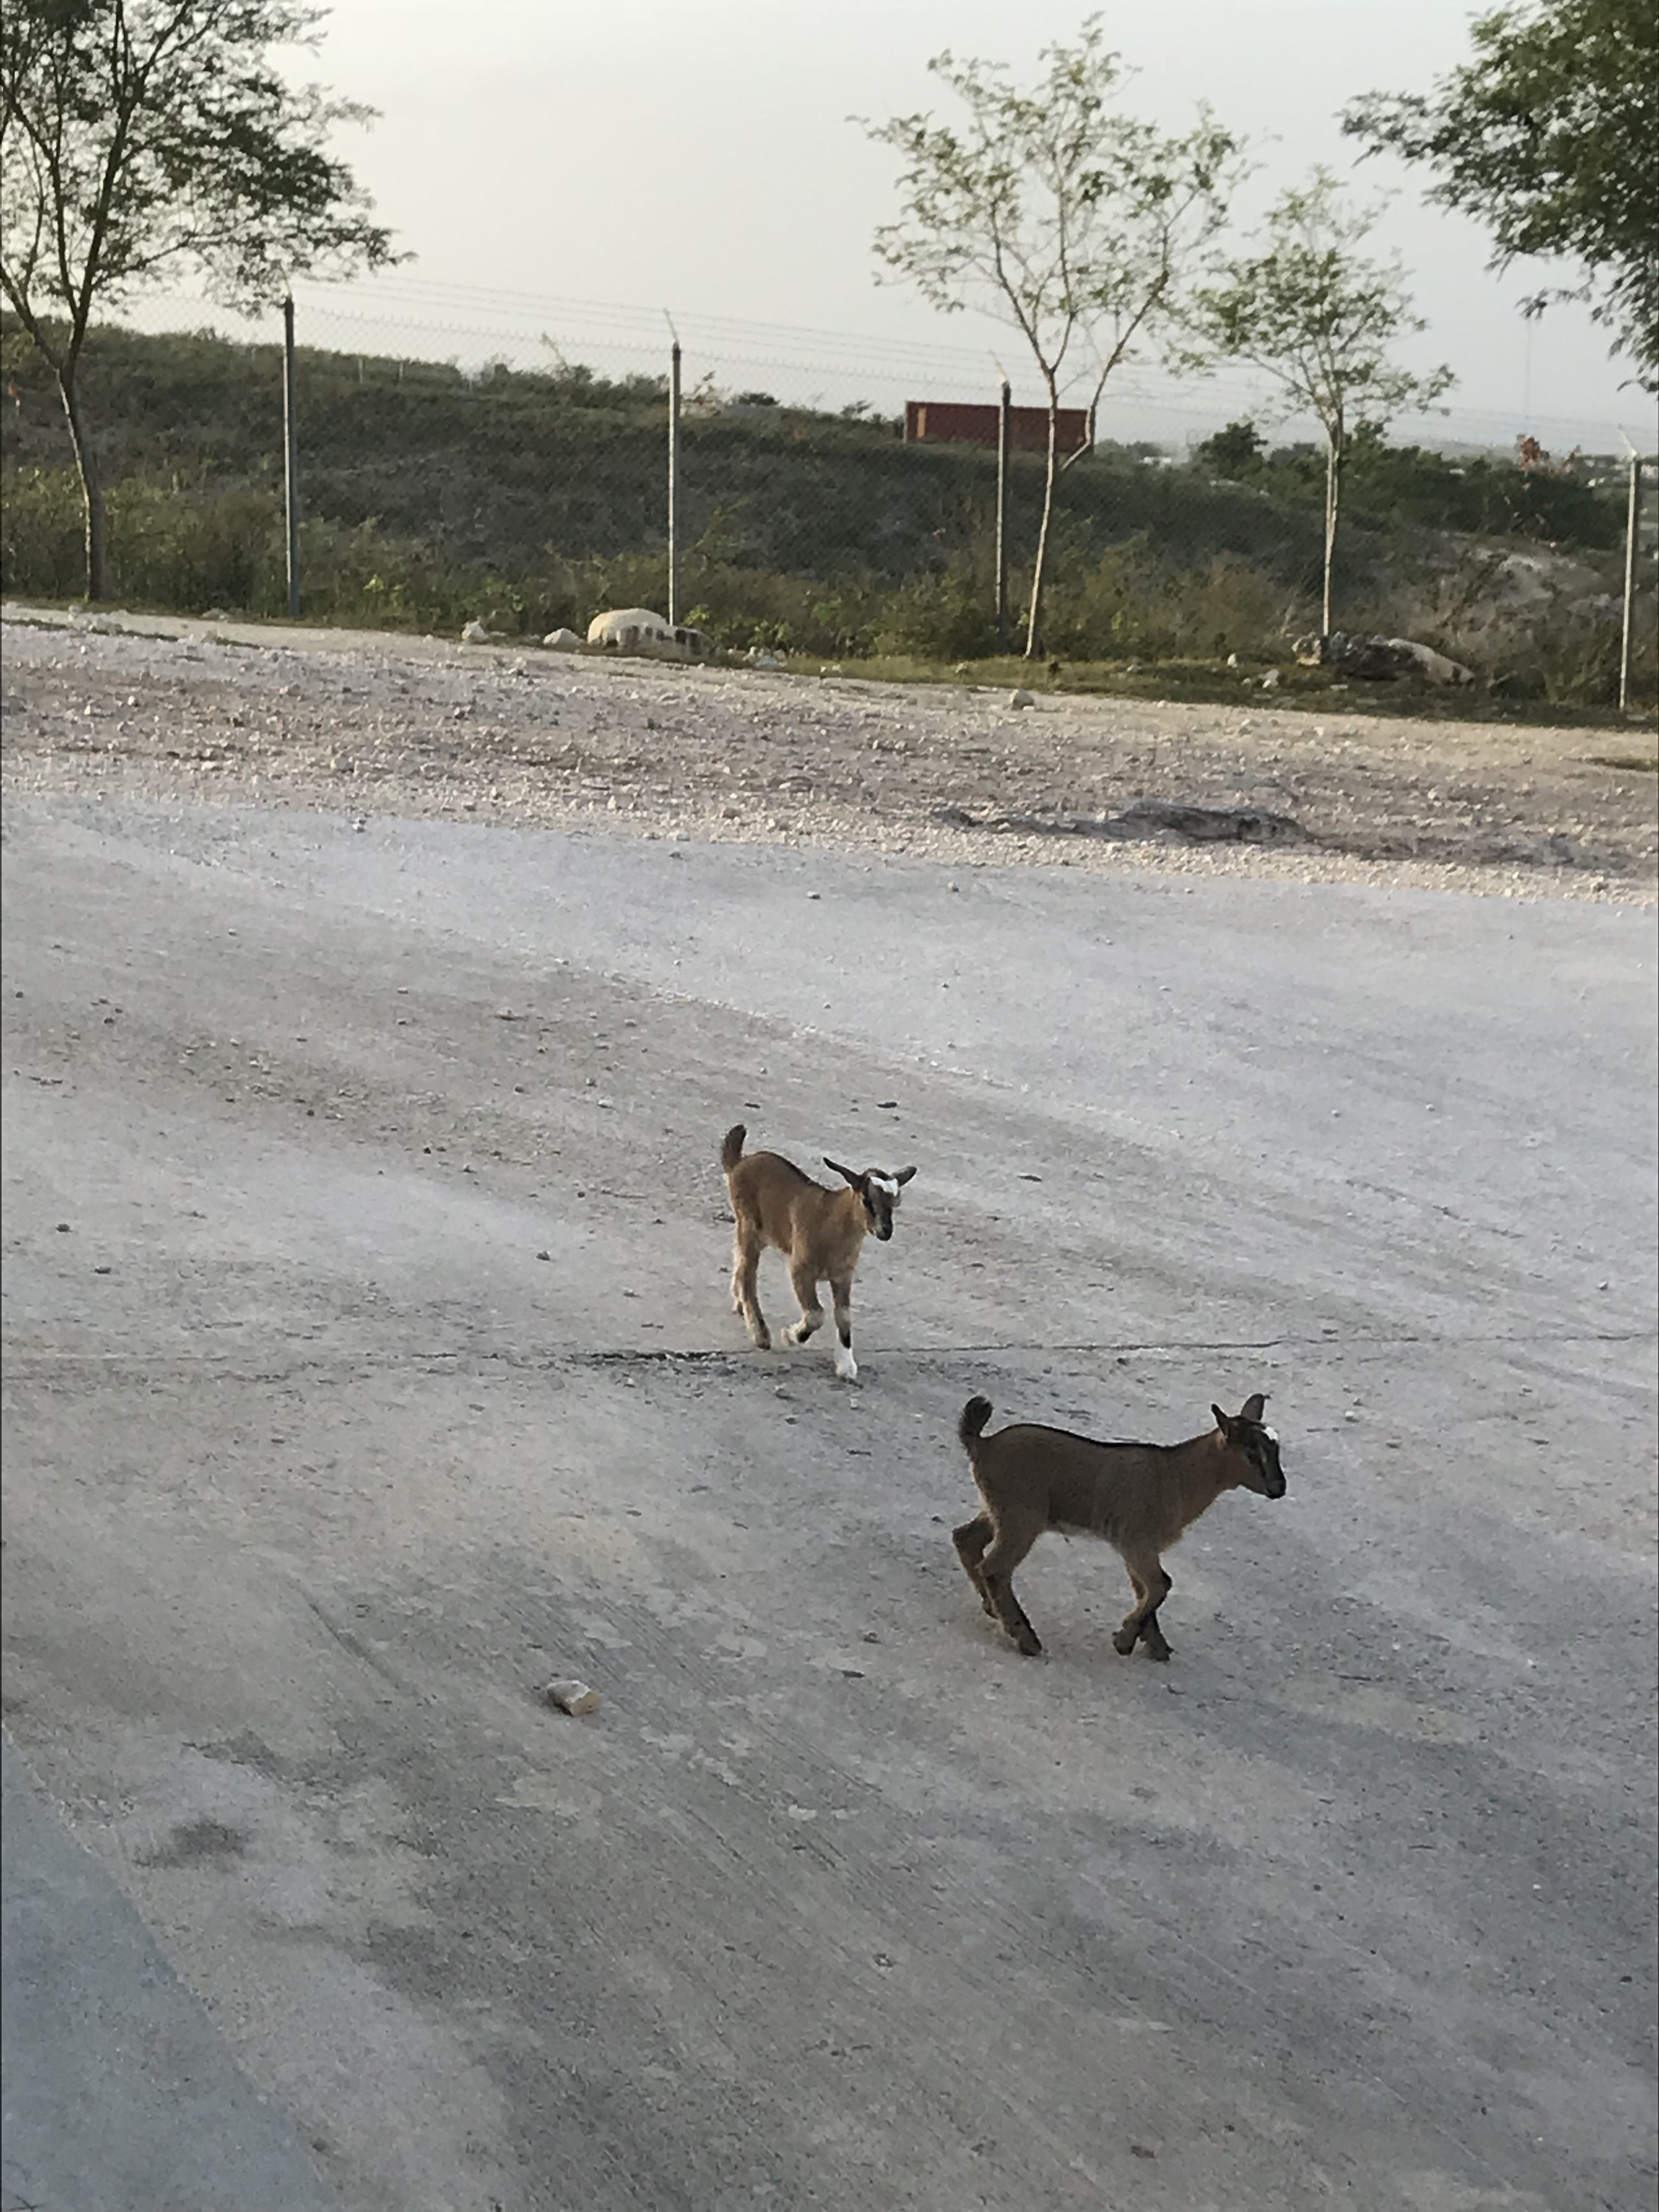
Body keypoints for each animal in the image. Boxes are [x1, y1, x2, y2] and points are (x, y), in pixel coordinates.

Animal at [721, 1125, 915, 1381]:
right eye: (866, 1199)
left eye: (895, 1203)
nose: (886, 1231)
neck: (832, 1221)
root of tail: (739, 1163)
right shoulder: (800, 1268)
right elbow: (816, 1314)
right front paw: (792, 1336)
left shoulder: (843, 1275)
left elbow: (844, 1316)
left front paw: (846, 1366)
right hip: (749, 1223)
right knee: (747, 1274)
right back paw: (761, 1334)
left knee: (740, 1260)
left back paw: (740, 1304)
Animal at [953, 1393, 1286, 1660]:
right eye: (1252, 1454)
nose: (1279, 1488)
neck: (1176, 1478)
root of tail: (983, 1444)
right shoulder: (1136, 1541)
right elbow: (1161, 1585)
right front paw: (1125, 1641)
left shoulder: (1138, 1548)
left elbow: (1146, 1590)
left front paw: (1154, 1645)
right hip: (1022, 1516)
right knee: (995, 1567)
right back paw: (1025, 1638)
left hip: (1000, 1509)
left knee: (966, 1539)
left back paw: (990, 1606)